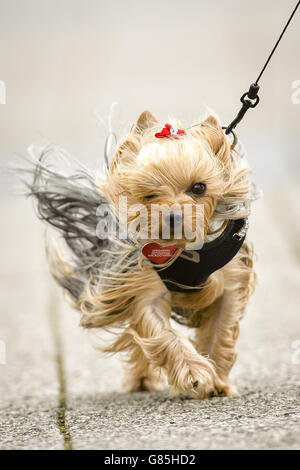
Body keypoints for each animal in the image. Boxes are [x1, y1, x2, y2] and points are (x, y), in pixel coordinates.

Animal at [24, 109, 256, 396]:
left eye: (199, 187)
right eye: (149, 193)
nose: (172, 217)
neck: (184, 248)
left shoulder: (230, 281)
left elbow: (220, 331)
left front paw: (218, 383)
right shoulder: (144, 284)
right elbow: (162, 333)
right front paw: (195, 373)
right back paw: (142, 380)